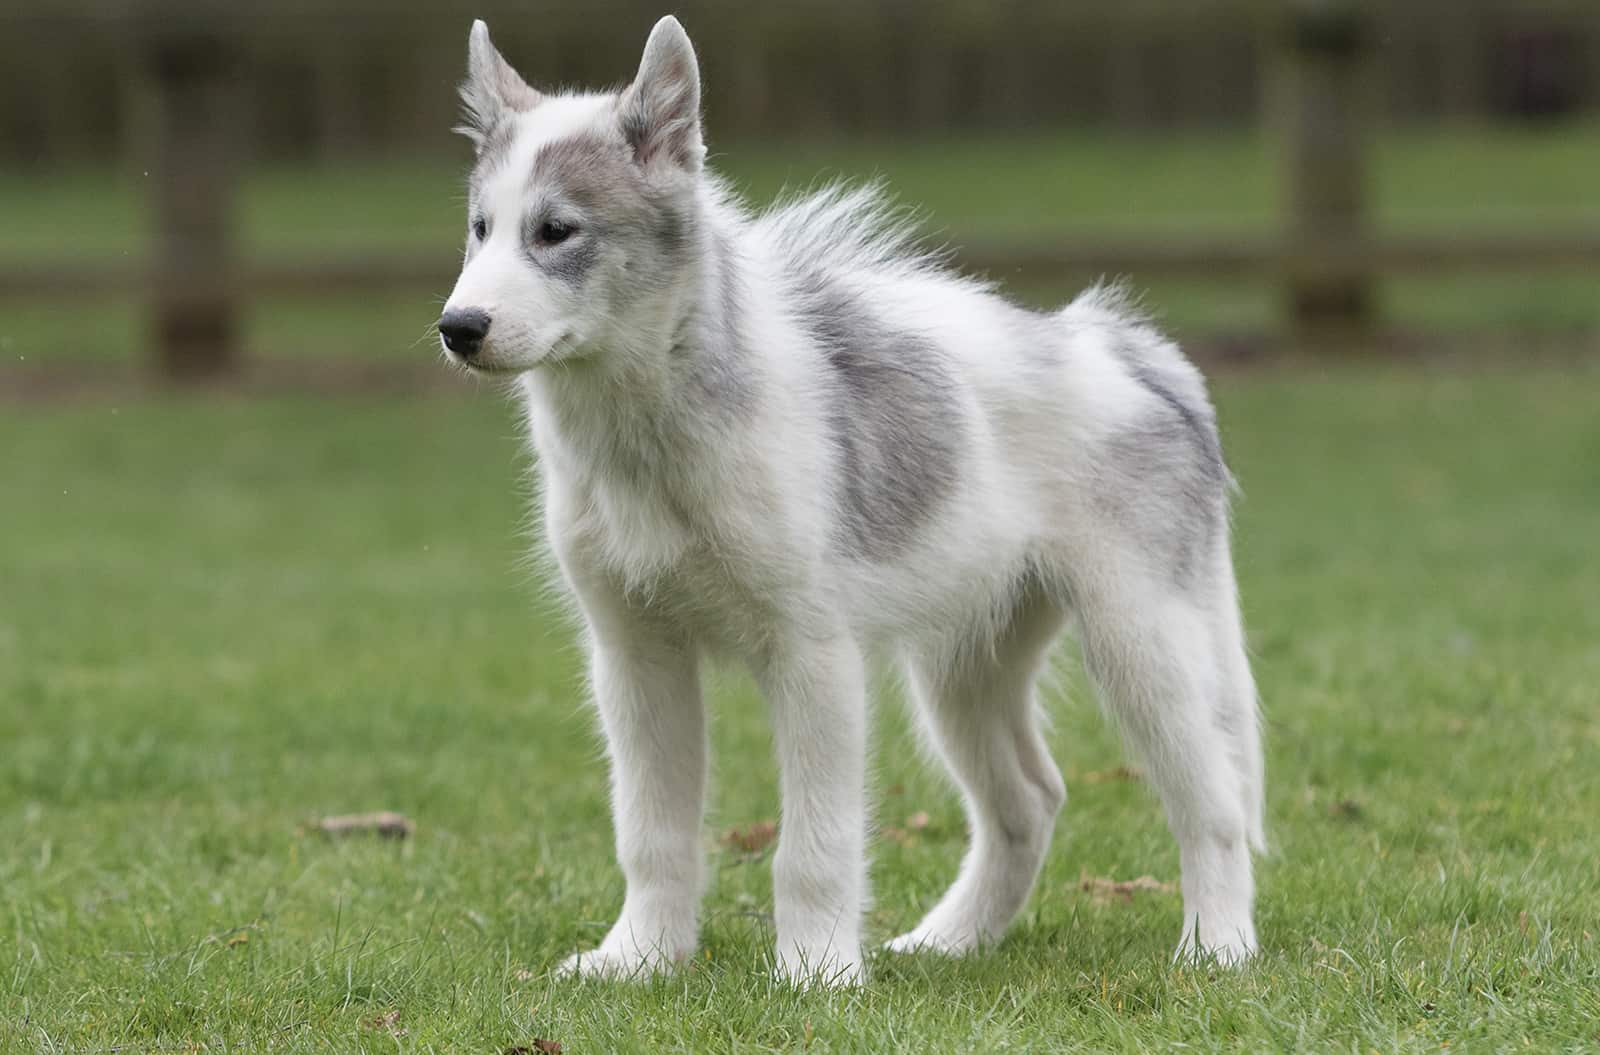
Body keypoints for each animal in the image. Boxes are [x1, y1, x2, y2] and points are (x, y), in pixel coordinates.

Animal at [435, 18, 1260, 992]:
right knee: (1028, 800)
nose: (457, 328)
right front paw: (638, 957)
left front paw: (816, 974)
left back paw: (1218, 947)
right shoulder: (635, 654)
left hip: (1143, 638)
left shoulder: (813, 654)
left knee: (1212, 799)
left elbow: (814, 844)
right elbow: (652, 829)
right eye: (480, 229)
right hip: (966, 662)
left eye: (556, 231)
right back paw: (950, 940)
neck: (648, 431)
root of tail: (1126, 347)